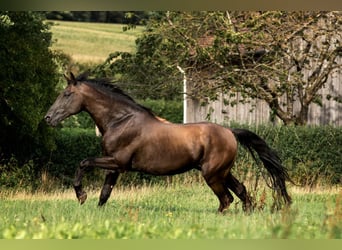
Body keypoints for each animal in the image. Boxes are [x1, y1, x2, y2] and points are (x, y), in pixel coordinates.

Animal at [44, 73, 292, 213]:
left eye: (66, 94)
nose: (48, 118)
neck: (120, 120)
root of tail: (230, 132)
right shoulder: (114, 166)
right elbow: (105, 194)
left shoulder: (117, 162)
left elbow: (84, 163)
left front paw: (81, 196)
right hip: (223, 172)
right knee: (240, 191)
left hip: (212, 175)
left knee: (226, 199)